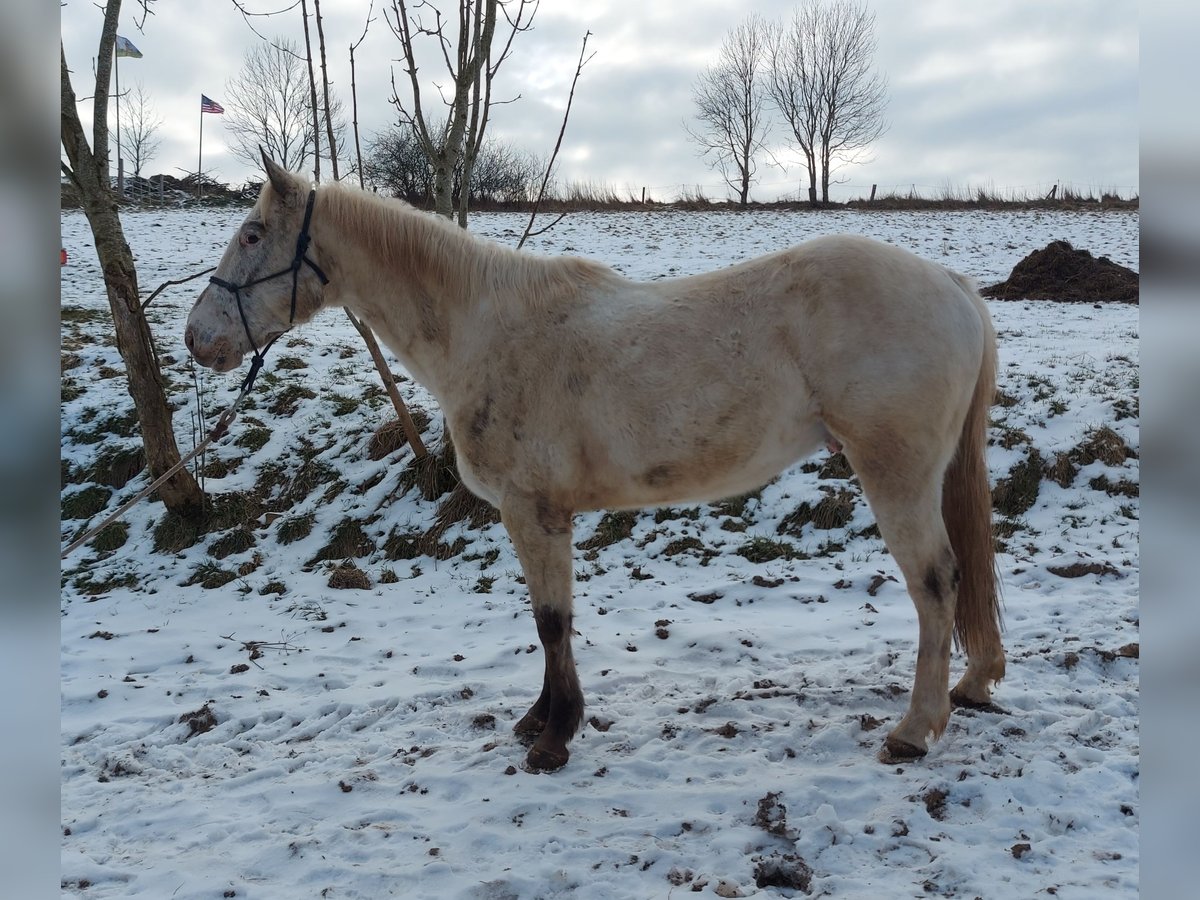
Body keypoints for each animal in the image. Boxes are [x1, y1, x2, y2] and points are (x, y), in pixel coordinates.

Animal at [184, 154, 1003, 777]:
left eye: (253, 233)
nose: (197, 339)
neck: (485, 330)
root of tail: (952, 285)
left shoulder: (533, 511)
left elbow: (551, 622)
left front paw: (554, 738)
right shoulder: (544, 517)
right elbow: (553, 620)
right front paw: (540, 719)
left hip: (894, 471)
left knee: (936, 582)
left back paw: (913, 730)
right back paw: (971, 686)